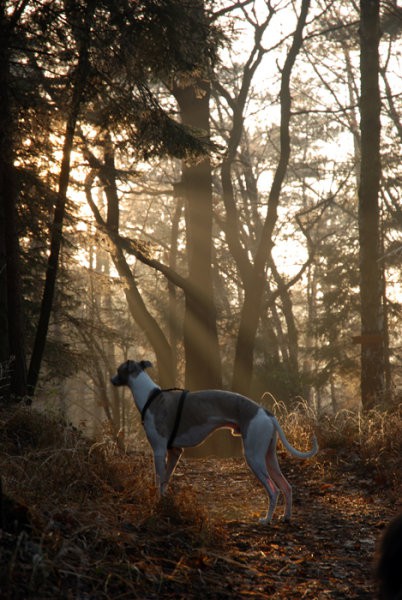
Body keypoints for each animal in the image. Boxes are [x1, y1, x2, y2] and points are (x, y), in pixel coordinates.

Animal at [110, 358, 318, 524]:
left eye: (118, 370)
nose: (111, 380)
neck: (151, 397)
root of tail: (266, 413)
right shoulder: (174, 452)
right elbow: (165, 481)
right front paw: (164, 502)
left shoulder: (159, 450)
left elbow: (158, 478)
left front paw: (157, 503)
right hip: (269, 457)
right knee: (287, 487)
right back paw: (286, 517)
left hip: (254, 457)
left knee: (274, 490)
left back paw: (266, 520)